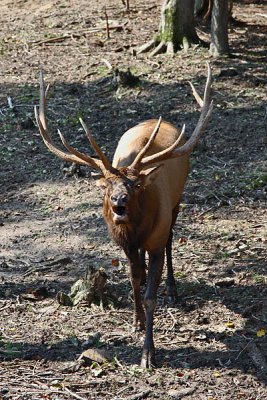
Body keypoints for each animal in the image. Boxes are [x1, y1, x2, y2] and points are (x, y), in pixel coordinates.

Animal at [34, 63, 214, 368]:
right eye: (107, 185)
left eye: (136, 185)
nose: (119, 200)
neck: (137, 229)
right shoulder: (125, 244)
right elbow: (134, 279)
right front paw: (136, 322)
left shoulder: (155, 238)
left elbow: (151, 293)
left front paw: (148, 353)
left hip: (177, 202)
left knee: (171, 238)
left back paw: (173, 288)